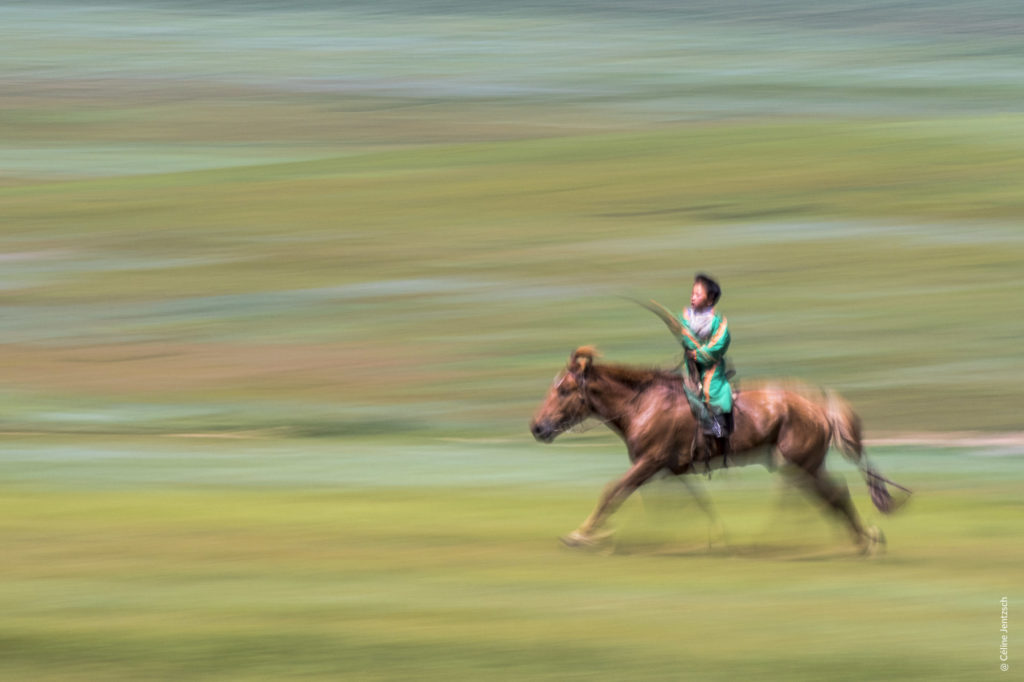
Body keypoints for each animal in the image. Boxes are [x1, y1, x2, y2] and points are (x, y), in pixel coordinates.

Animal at [532, 346, 909, 552]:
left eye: (564, 390)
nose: (537, 427)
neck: (641, 404)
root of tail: (819, 408)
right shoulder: (671, 469)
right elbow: (697, 503)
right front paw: (716, 537)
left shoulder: (649, 462)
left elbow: (612, 492)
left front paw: (580, 536)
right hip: (801, 465)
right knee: (829, 497)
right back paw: (862, 540)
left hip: (802, 464)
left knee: (833, 496)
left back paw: (865, 541)